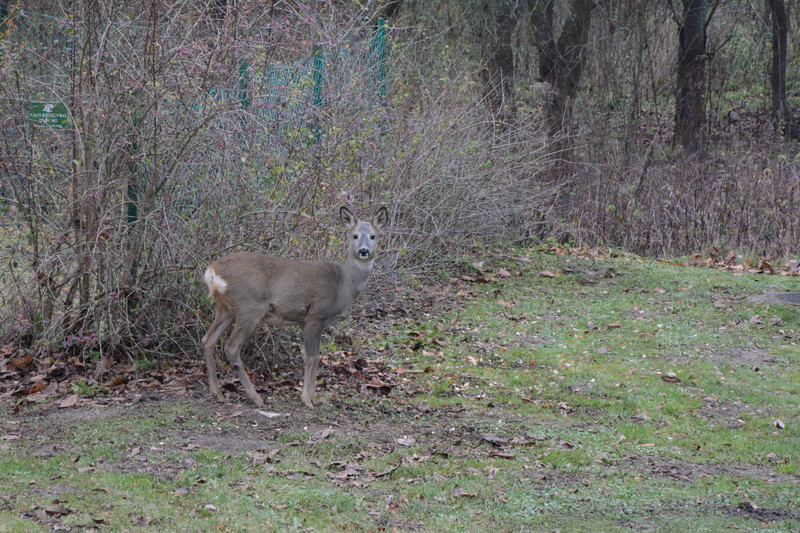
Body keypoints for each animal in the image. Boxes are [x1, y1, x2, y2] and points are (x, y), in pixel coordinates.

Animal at [200, 207, 388, 408]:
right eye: (354, 235)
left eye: (373, 235)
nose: (363, 250)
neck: (343, 283)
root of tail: (212, 271)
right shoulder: (315, 316)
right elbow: (310, 358)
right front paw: (307, 399)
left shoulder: (315, 322)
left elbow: (317, 357)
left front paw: (315, 397)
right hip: (249, 307)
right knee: (231, 347)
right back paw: (255, 397)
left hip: (225, 309)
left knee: (208, 340)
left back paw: (217, 393)